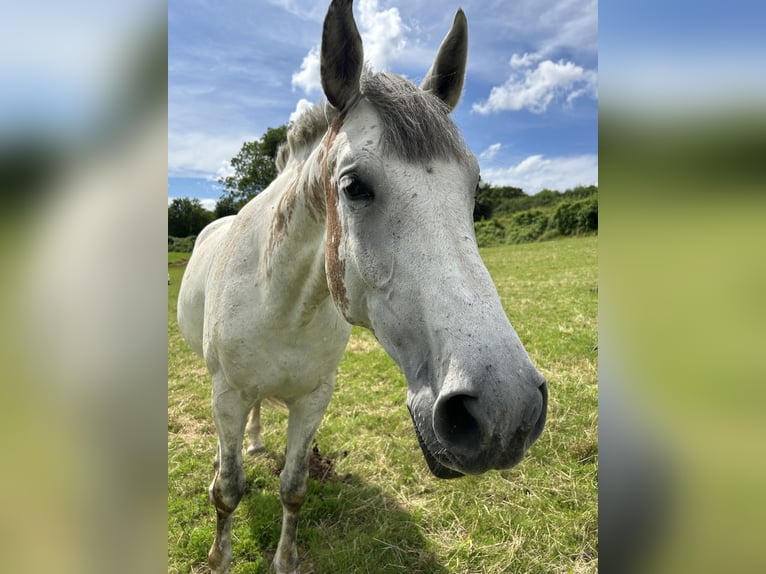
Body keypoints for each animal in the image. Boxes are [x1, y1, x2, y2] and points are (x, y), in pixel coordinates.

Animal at [177, 2, 548, 572]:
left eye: (474, 186)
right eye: (353, 187)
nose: (505, 412)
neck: (284, 307)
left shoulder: (314, 400)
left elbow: (293, 487)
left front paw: (285, 560)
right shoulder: (227, 396)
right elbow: (229, 491)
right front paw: (220, 557)